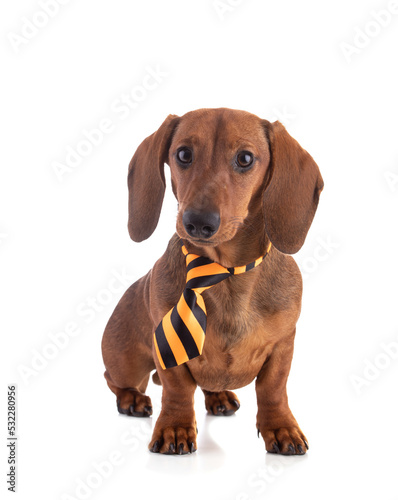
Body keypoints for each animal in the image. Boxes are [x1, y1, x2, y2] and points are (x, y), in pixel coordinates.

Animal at [101, 107, 322, 456]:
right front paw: (175, 428)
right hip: (126, 362)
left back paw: (218, 396)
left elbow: (273, 387)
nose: (198, 222)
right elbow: (177, 388)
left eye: (245, 158)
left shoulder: (283, 344)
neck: (224, 271)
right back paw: (132, 399)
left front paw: (281, 427)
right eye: (183, 154)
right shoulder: (167, 345)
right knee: (115, 379)